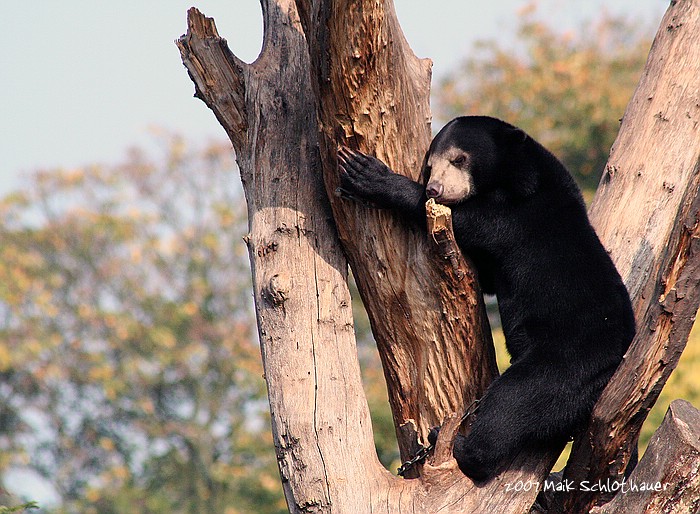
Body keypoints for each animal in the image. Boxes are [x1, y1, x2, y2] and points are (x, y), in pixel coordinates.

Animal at [336, 115, 636, 480]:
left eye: (459, 159)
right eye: (429, 164)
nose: (435, 188)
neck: (516, 174)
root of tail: (613, 370)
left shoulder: (516, 215)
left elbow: (469, 220)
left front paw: (368, 174)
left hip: (568, 359)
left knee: (517, 398)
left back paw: (458, 444)